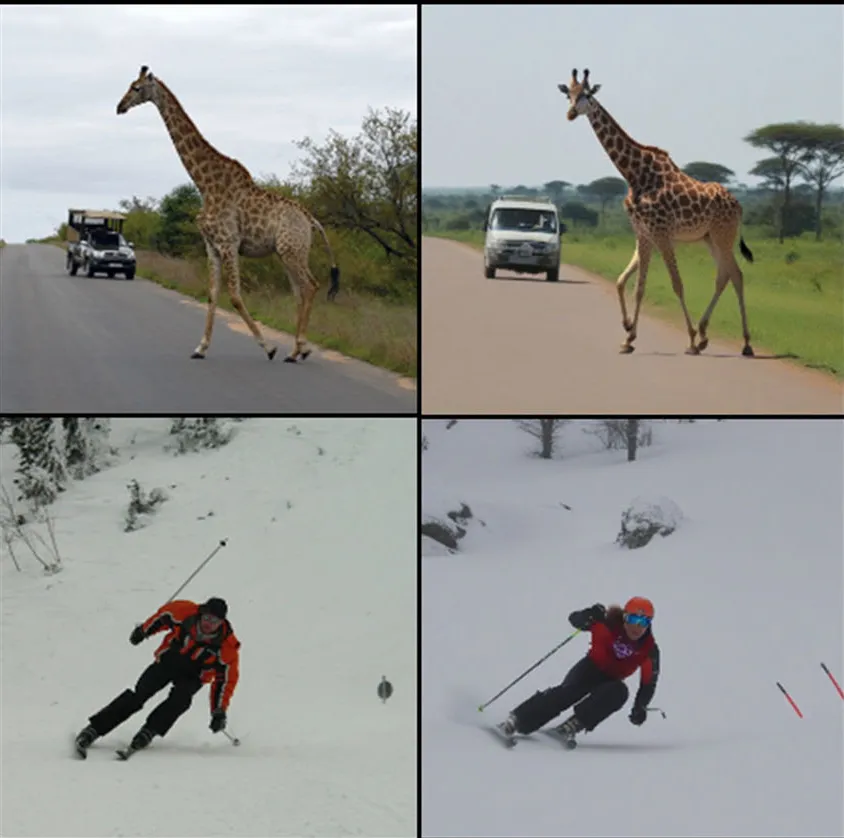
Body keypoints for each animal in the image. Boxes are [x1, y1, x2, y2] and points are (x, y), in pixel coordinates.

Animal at [116, 66, 339, 361]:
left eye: (137, 88)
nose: (119, 107)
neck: (205, 184)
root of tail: (310, 219)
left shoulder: (229, 242)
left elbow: (233, 295)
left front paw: (268, 347)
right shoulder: (211, 245)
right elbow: (212, 293)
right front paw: (200, 347)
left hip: (292, 249)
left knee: (311, 286)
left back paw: (298, 348)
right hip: (288, 252)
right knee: (300, 292)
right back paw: (296, 350)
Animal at [557, 68, 754, 357]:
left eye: (587, 94)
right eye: (568, 94)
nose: (571, 113)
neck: (633, 174)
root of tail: (739, 206)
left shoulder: (661, 233)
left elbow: (677, 284)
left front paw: (689, 340)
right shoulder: (643, 233)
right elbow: (629, 284)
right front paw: (628, 335)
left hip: (723, 236)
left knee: (736, 276)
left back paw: (744, 343)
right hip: (710, 238)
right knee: (726, 275)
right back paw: (707, 336)